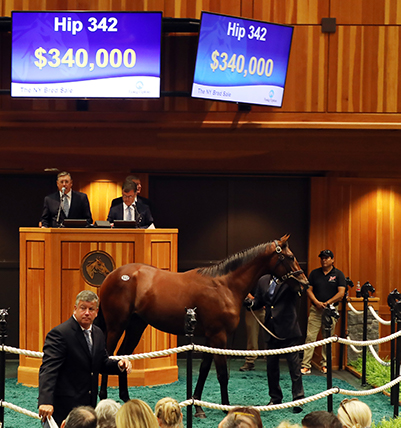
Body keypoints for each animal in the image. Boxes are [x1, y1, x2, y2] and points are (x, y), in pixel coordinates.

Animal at [95, 236, 308, 416]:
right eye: (290, 257)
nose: (304, 283)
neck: (225, 285)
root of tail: (112, 276)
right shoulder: (219, 336)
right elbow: (222, 374)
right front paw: (225, 408)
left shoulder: (210, 338)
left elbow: (204, 370)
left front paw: (198, 407)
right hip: (116, 326)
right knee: (110, 355)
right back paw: (104, 398)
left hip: (136, 326)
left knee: (122, 356)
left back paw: (127, 400)